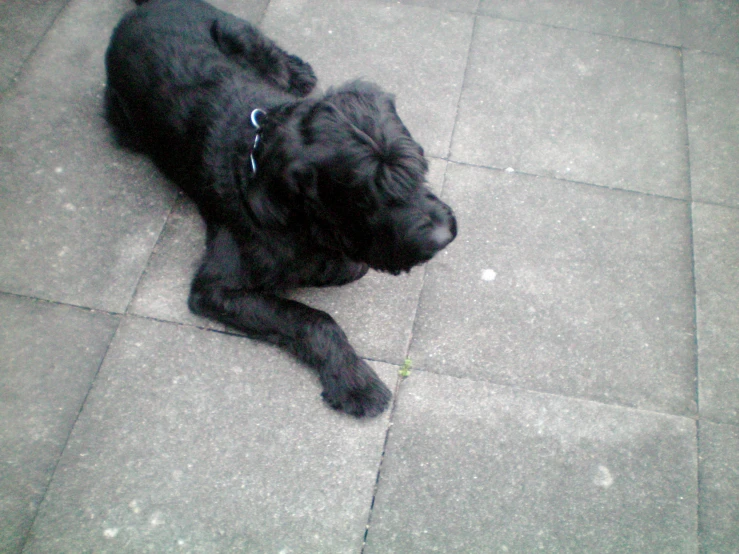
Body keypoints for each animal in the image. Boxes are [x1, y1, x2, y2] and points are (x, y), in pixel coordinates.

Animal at [104, 0, 456, 414]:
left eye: (418, 164)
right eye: (365, 194)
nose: (443, 236)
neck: (256, 158)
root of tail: (146, 6)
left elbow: (346, 266)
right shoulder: (216, 289)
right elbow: (310, 316)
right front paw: (354, 380)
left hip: (239, 32)